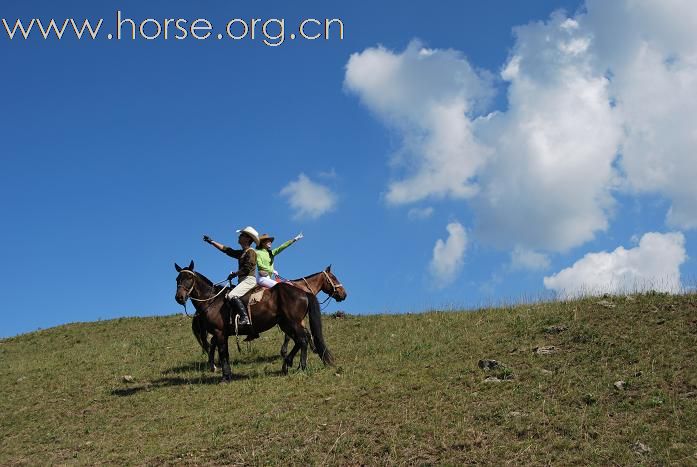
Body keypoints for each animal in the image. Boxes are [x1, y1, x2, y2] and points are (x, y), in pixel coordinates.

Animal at [174, 262, 346, 382]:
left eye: (189, 278)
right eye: (178, 279)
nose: (179, 297)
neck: (213, 300)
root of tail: (302, 292)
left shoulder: (220, 333)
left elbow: (223, 353)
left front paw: (225, 376)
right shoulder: (221, 334)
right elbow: (223, 353)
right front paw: (225, 374)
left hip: (293, 323)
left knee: (302, 340)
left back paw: (300, 367)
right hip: (287, 324)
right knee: (300, 340)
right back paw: (288, 364)